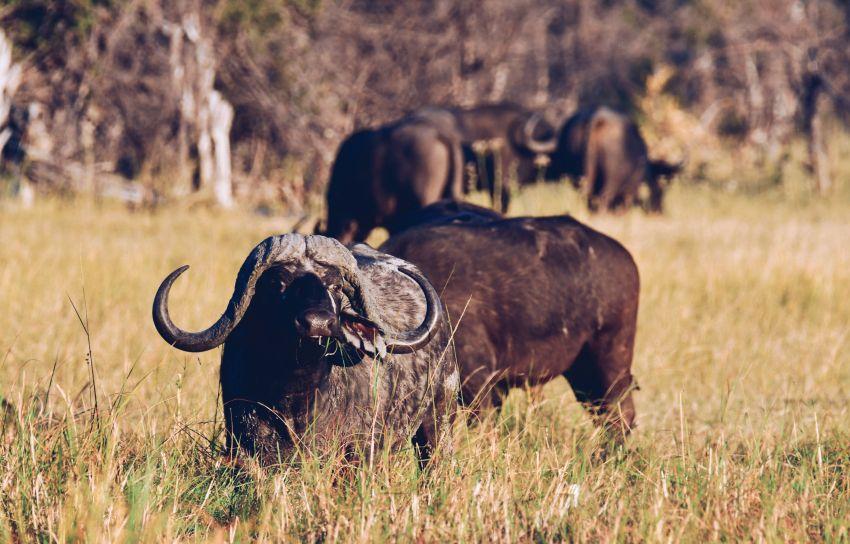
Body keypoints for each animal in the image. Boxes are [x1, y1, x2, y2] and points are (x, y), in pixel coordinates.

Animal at [548, 106, 681, 213]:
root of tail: (598, 118)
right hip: (612, 182)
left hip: (580, 176)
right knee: (603, 199)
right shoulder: (630, 190)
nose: (661, 211)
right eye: (662, 192)